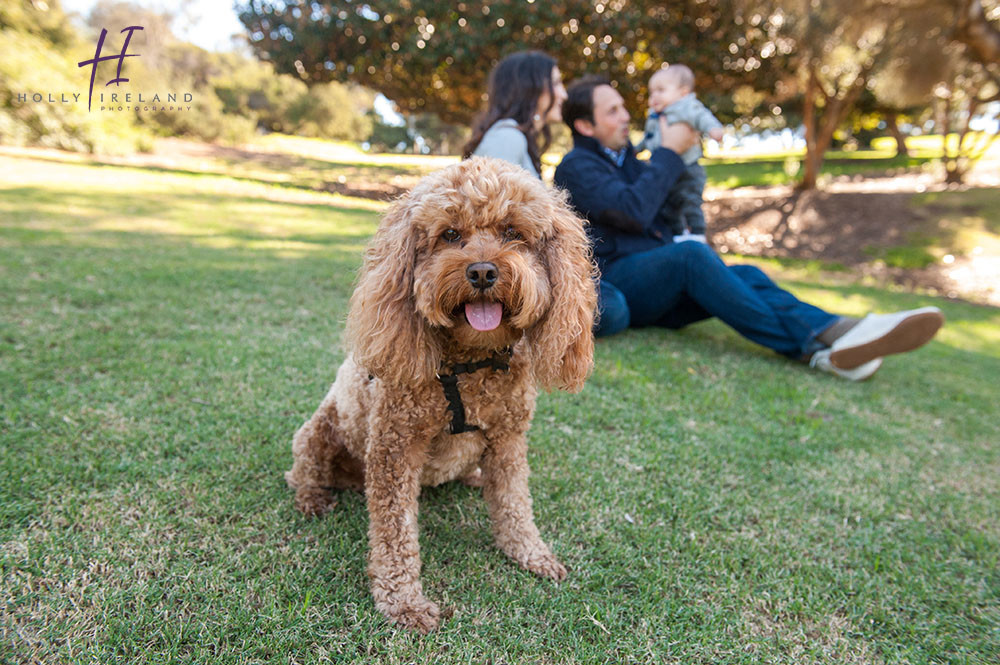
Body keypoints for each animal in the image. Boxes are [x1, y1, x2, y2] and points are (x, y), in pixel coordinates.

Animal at [284, 158, 592, 632]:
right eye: (449, 234)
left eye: (512, 232)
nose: (482, 271)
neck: (469, 363)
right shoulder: (394, 446)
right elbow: (395, 533)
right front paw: (403, 602)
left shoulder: (508, 439)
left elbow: (515, 503)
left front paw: (531, 553)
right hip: (319, 432)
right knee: (302, 471)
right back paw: (313, 498)